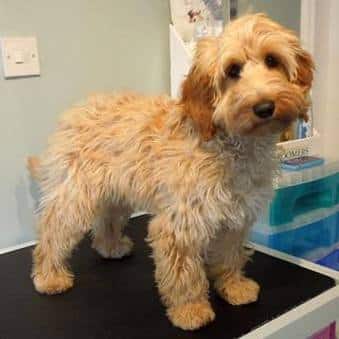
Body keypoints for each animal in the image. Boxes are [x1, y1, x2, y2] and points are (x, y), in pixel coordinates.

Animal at [28, 14, 314, 330]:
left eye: (272, 60)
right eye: (232, 70)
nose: (264, 107)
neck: (231, 145)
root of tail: (74, 112)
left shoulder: (236, 217)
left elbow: (229, 255)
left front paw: (234, 287)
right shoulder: (180, 223)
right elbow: (184, 272)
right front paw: (190, 309)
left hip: (116, 194)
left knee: (107, 221)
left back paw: (111, 247)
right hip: (75, 196)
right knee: (52, 229)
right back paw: (49, 275)